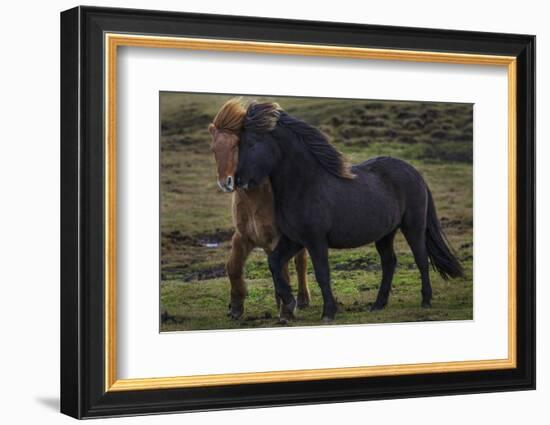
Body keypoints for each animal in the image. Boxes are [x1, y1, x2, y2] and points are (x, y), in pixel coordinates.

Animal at [209, 98, 310, 318]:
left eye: (236, 145)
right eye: (214, 149)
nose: (225, 182)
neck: (254, 200)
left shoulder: (278, 238)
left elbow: (284, 269)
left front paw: (287, 311)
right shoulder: (243, 236)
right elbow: (233, 266)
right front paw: (236, 306)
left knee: (300, 262)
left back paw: (303, 300)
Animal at [237, 102, 466, 322]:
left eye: (251, 143)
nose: (238, 180)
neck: (305, 185)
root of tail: (415, 173)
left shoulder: (315, 240)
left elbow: (322, 274)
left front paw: (328, 312)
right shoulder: (294, 239)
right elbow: (274, 263)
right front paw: (291, 301)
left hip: (413, 226)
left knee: (421, 259)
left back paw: (425, 301)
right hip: (385, 233)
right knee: (389, 263)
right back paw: (378, 305)